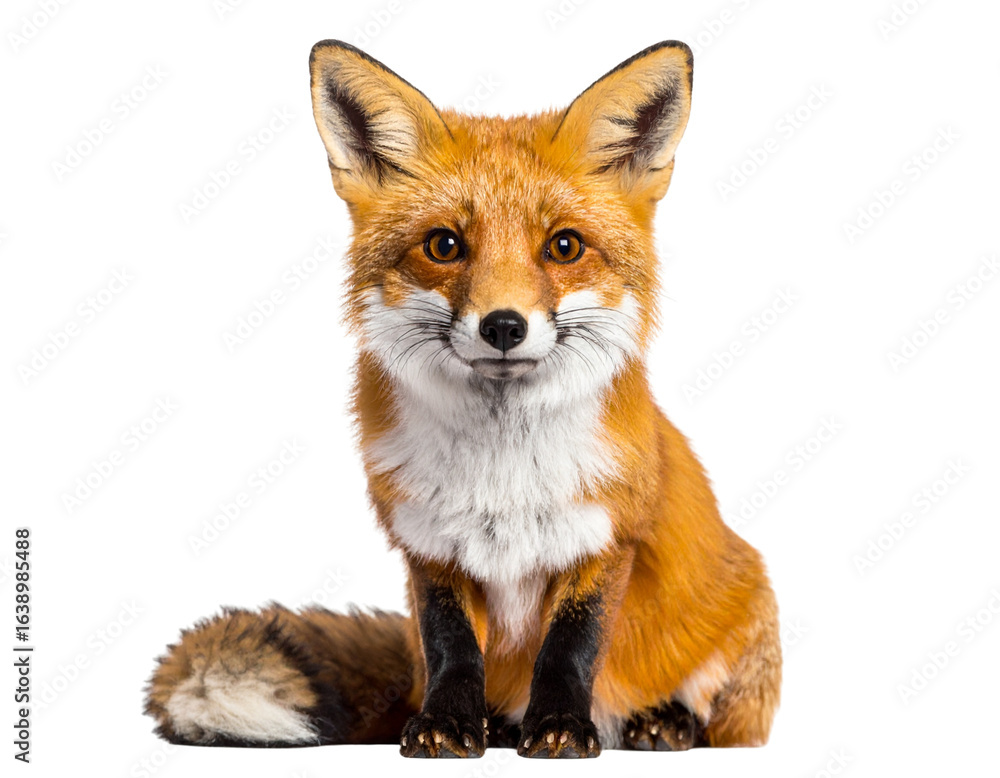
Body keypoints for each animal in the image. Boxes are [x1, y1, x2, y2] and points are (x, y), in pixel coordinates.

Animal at [144, 39, 781, 758]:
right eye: (444, 245)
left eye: (565, 246)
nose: (503, 326)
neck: (502, 474)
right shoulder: (427, 542)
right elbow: (452, 646)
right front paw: (449, 725)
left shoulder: (606, 536)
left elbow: (572, 646)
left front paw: (562, 728)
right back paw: (500, 724)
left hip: (747, 619)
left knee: (719, 721)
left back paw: (663, 722)